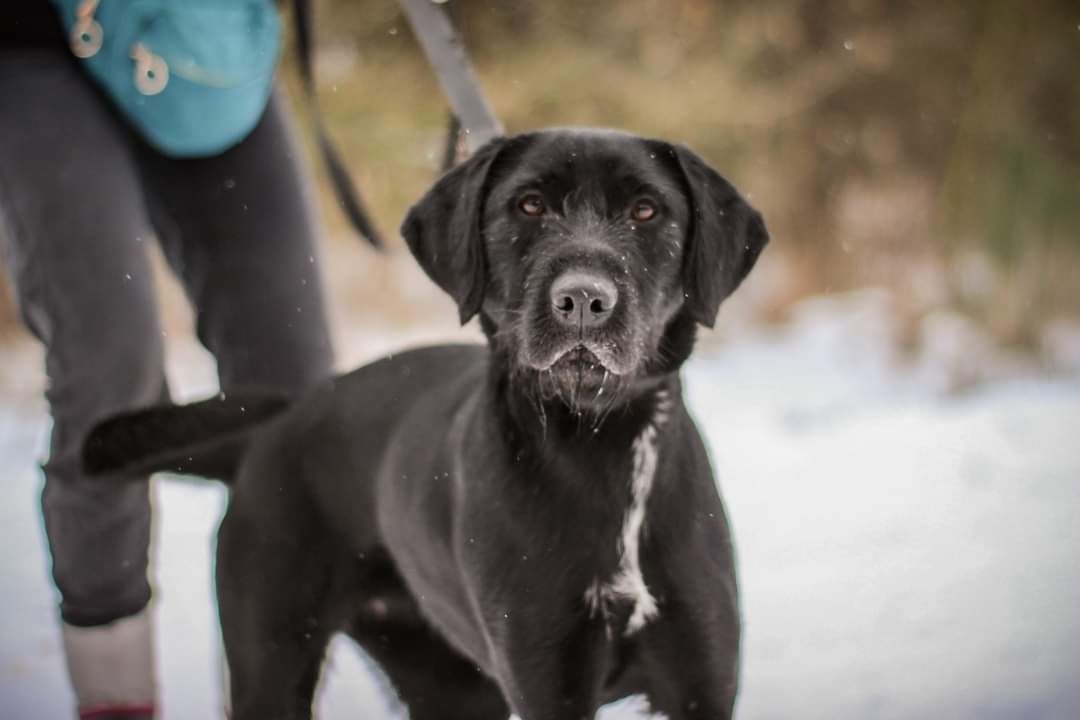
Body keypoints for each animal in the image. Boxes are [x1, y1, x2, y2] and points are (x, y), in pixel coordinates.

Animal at [88, 131, 773, 720]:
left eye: (646, 211)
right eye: (528, 204)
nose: (583, 300)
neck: (599, 439)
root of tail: (273, 430)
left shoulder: (701, 679)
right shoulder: (548, 680)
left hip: (453, 689)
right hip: (272, 657)